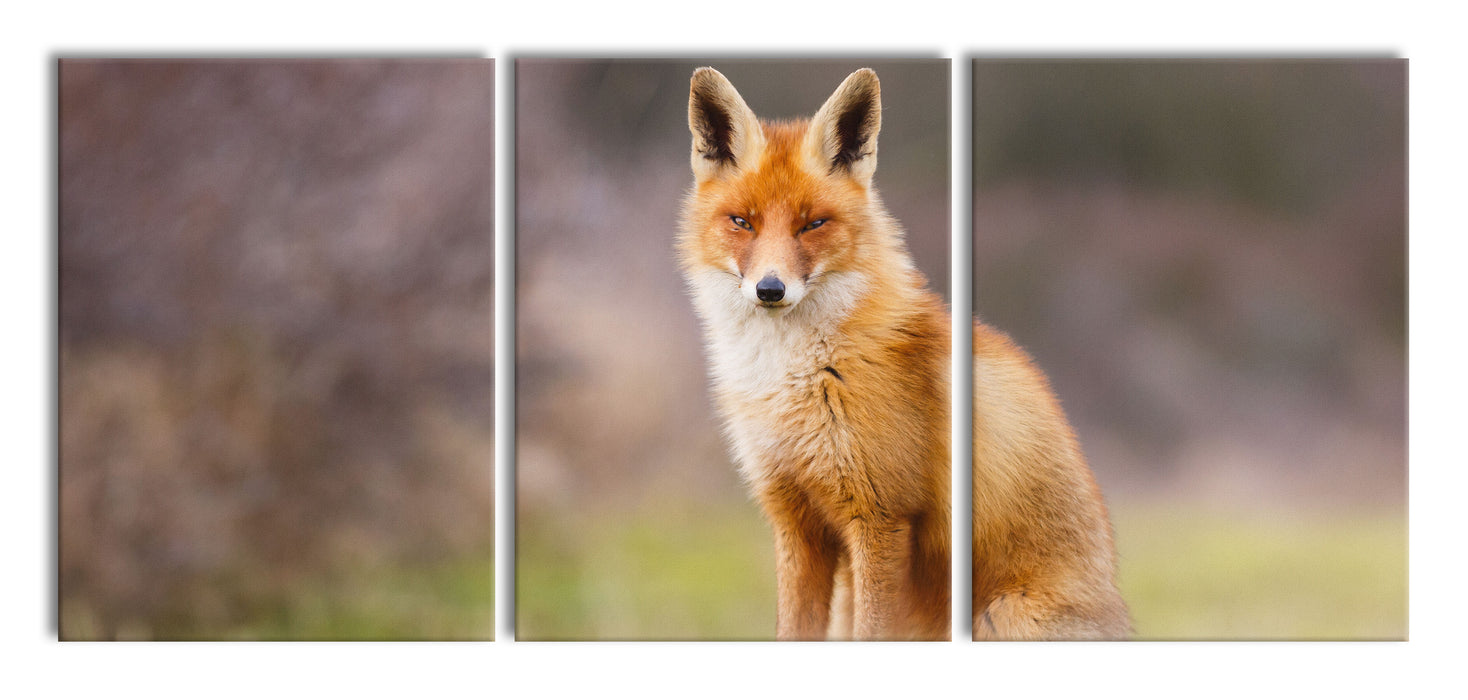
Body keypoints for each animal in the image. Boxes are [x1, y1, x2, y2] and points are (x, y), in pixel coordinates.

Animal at [681, 66, 1127, 639]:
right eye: (742, 222)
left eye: (812, 224)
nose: (770, 290)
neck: (798, 378)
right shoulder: (795, 519)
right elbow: (793, 629)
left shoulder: (881, 517)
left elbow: (872, 632)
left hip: (1001, 616)